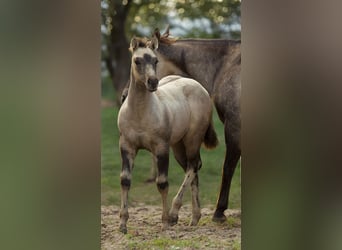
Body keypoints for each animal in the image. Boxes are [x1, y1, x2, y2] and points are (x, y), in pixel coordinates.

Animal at [117, 37, 218, 234]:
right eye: (137, 60)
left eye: (155, 60)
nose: (152, 82)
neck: (140, 113)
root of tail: (199, 87)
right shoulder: (127, 146)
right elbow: (125, 180)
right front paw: (123, 224)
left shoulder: (161, 148)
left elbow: (162, 183)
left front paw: (164, 222)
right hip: (178, 146)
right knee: (193, 169)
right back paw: (194, 218)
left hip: (192, 140)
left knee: (193, 166)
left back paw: (174, 214)